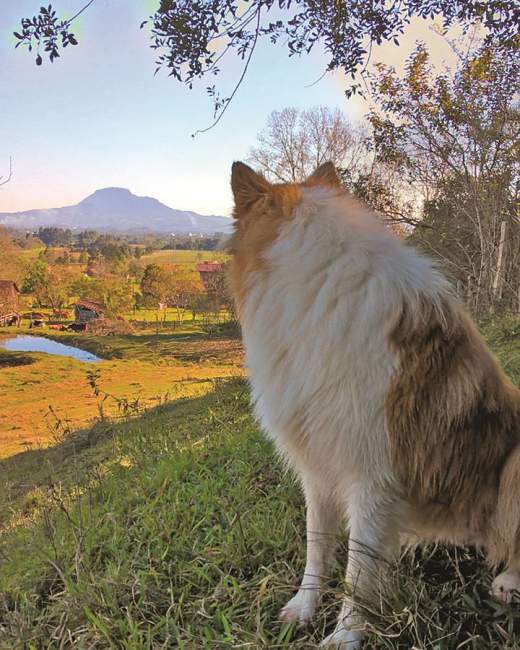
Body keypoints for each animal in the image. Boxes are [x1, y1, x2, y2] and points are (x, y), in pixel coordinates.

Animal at [228, 159, 520, 644]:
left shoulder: (373, 478)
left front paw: (345, 636)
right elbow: (317, 547)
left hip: (513, 465)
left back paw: (509, 581)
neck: (323, 280)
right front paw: (303, 608)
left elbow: (359, 570)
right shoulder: (318, 469)